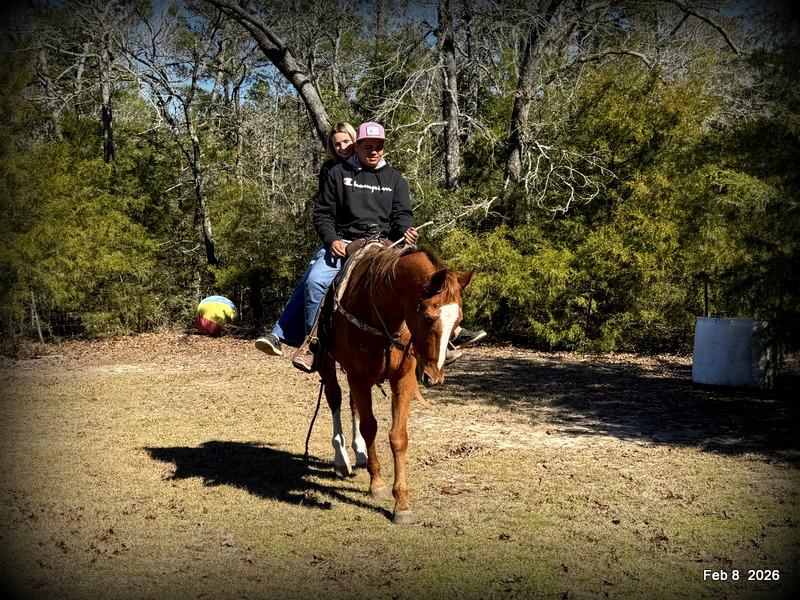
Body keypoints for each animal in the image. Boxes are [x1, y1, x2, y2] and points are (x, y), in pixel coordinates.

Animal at [318, 243, 472, 524]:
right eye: (428, 317)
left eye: (457, 321)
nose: (434, 377)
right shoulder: (357, 376)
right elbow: (370, 426)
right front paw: (377, 484)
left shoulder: (403, 379)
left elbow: (398, 437)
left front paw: (401, 503)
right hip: (327, 360)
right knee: (334, 398)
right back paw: (341, 458)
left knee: (352, 405)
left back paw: (359, 453)